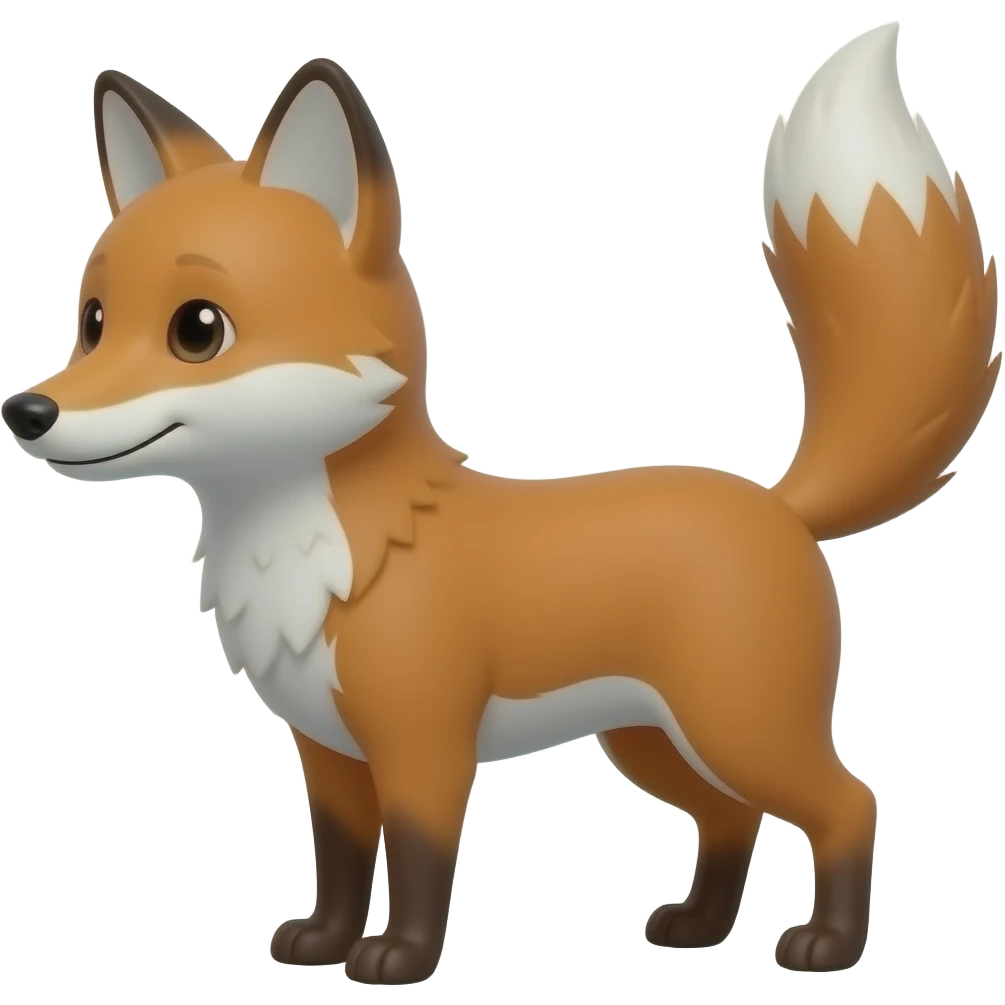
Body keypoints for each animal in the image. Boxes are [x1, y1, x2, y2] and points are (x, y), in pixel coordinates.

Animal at [3, 28, 999, 983]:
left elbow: (415, 862)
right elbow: (339, 859)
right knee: (731, 819)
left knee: (848, 802)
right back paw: (697, 927)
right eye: (92, 322)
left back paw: (826, 944)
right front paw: (322, 940)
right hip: (652, 740)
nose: (27, 411)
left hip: (738, 726)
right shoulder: (327, 752)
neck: (329, 551)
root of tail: (777, 503)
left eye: (198, 329)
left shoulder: (423, 745)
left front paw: (397, 960)